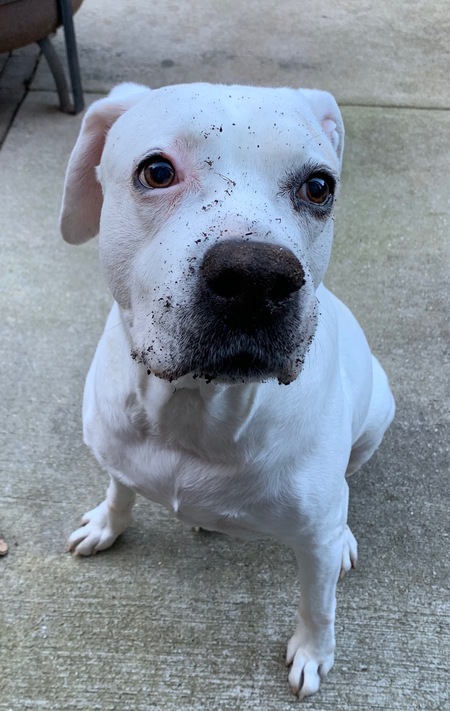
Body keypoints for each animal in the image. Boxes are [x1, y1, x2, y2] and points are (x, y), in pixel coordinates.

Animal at [59, 83, 394, 700]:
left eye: (319, 186)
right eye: (157, 171)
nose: (257, 278)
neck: (195, 406)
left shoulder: (312, 539)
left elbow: (318, 604)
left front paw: (314, 653)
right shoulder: (117, 453)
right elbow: (120, 489)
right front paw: (106, 524)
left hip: (378, 413)